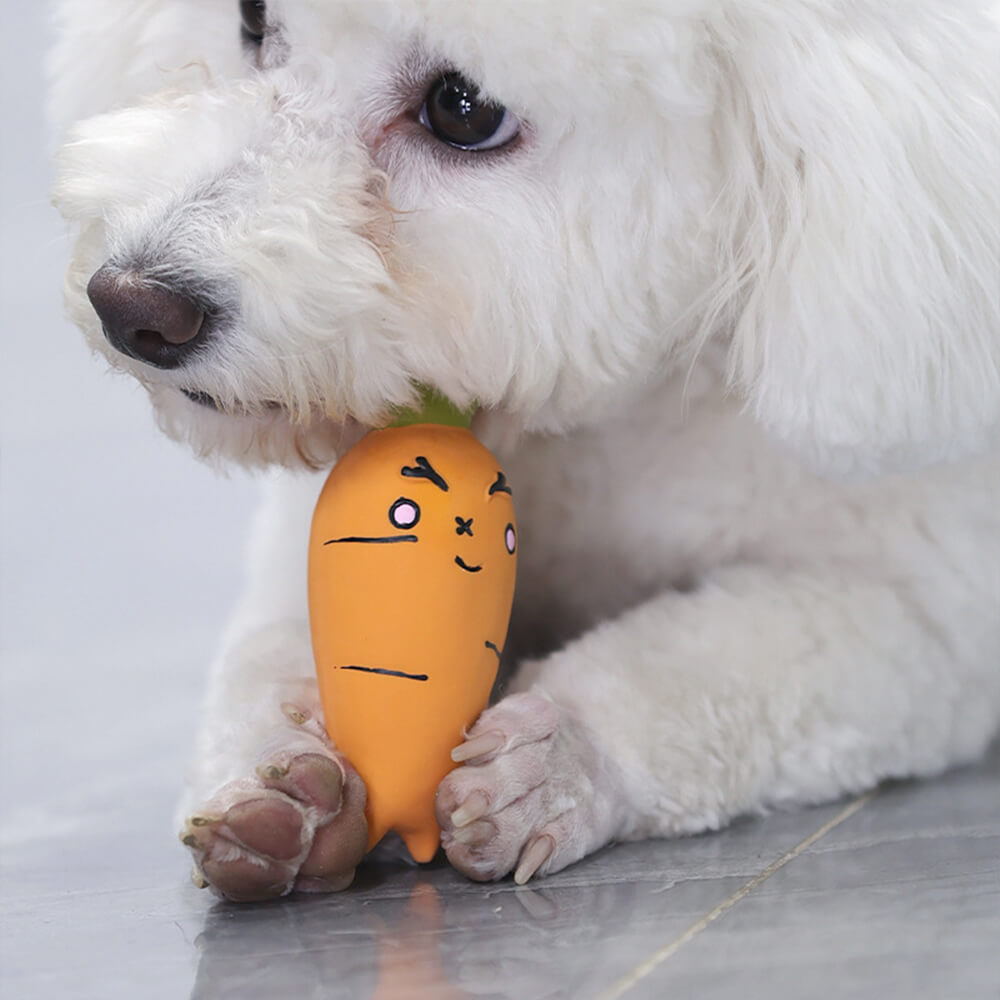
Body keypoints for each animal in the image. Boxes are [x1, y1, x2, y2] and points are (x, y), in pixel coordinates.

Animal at [50, 0, 996, 904]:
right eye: (251, 19)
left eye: (463, 110)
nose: (131, 305)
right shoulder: (298, 550)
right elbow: (262, 654)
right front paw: (277, 779)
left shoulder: (931, 618)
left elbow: (705, 664)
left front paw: (558, 762)